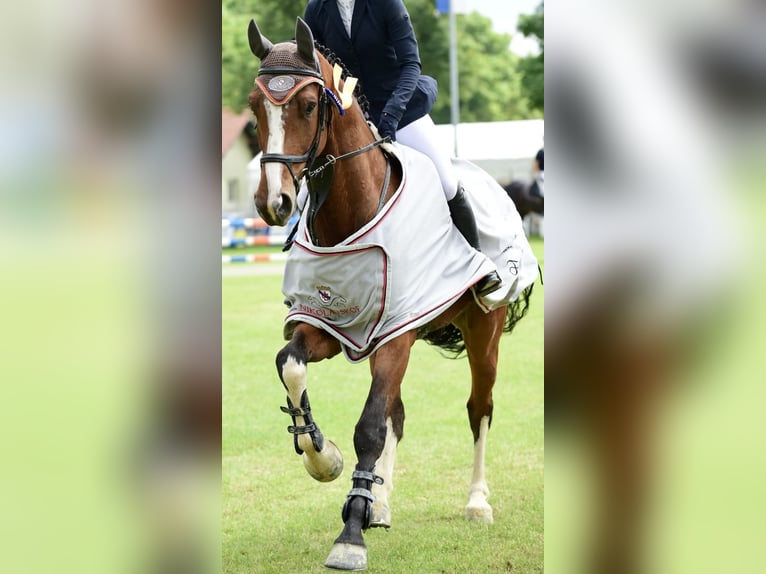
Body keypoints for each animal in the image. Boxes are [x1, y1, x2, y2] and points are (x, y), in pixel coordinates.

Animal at [246, 17, 536, 571]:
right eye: (254, 107)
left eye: (308, 106)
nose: (275, 203)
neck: (348, 212)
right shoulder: (331, 325)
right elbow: (290, 364)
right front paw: (324, 460)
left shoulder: (394, 335)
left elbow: (369, 426)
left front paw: (349, 536)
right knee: (397, 414)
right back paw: (379, 504)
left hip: (482, 331)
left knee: (479, 407)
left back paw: (477, 502)